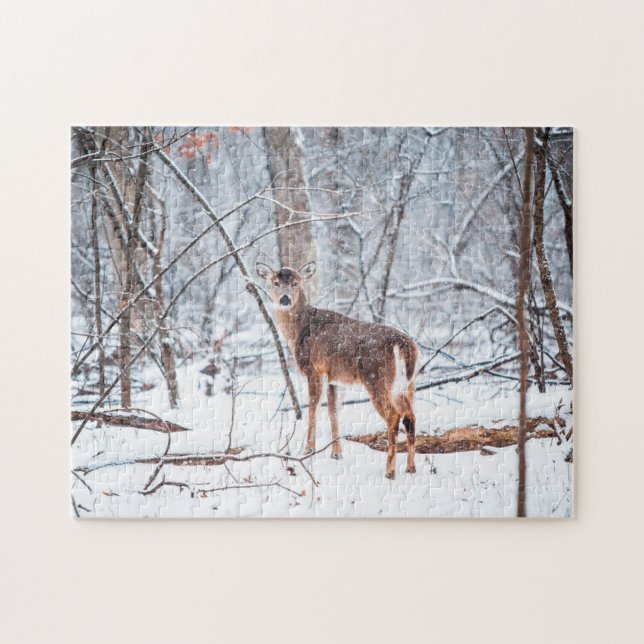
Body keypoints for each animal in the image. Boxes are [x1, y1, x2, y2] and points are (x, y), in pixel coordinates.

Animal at [256, 261, 419, 479]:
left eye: (296, 283)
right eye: (275, 282)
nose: (284, 298)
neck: (298, 330)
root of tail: (403, 344)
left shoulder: (314, 370)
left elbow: (313, 408)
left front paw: (308, 450)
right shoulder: (333, 376)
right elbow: (333, 411)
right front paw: (336, 454)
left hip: (377, 377)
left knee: (393, 416)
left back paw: (389, 472)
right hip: (409, 383)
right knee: (410, 416)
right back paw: (411, 468)